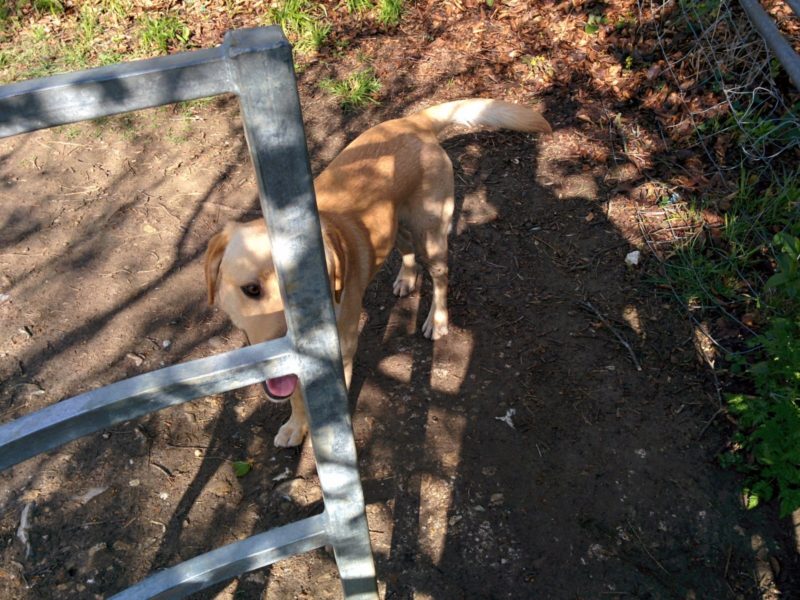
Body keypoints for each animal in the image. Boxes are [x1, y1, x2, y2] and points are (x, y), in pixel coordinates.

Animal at [206, 97, 552, 446]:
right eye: (251, 289)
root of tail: (414, 121)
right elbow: (295, 395)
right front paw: (295, 425)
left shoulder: (342, 352)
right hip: (395, 226)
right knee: (408, 252)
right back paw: (405, 279)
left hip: (432, 235)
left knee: (440, 276)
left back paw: (437, 320)